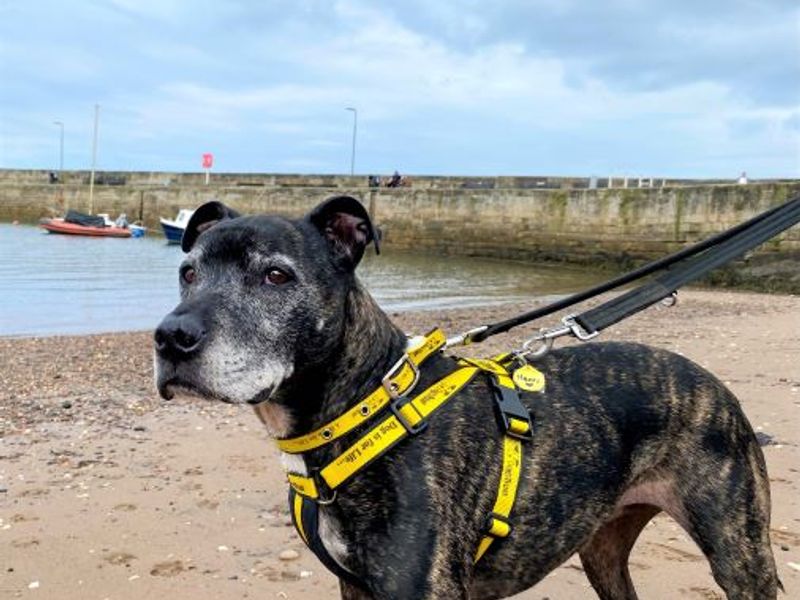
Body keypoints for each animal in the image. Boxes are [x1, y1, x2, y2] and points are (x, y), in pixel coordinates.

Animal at [156, 195, 780, 596]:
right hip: (602, 549)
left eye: (276, 276)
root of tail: (714, 384)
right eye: (187, 273)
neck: (361, 407)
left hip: (739, 554)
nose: (169, 337)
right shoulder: (356, 588)